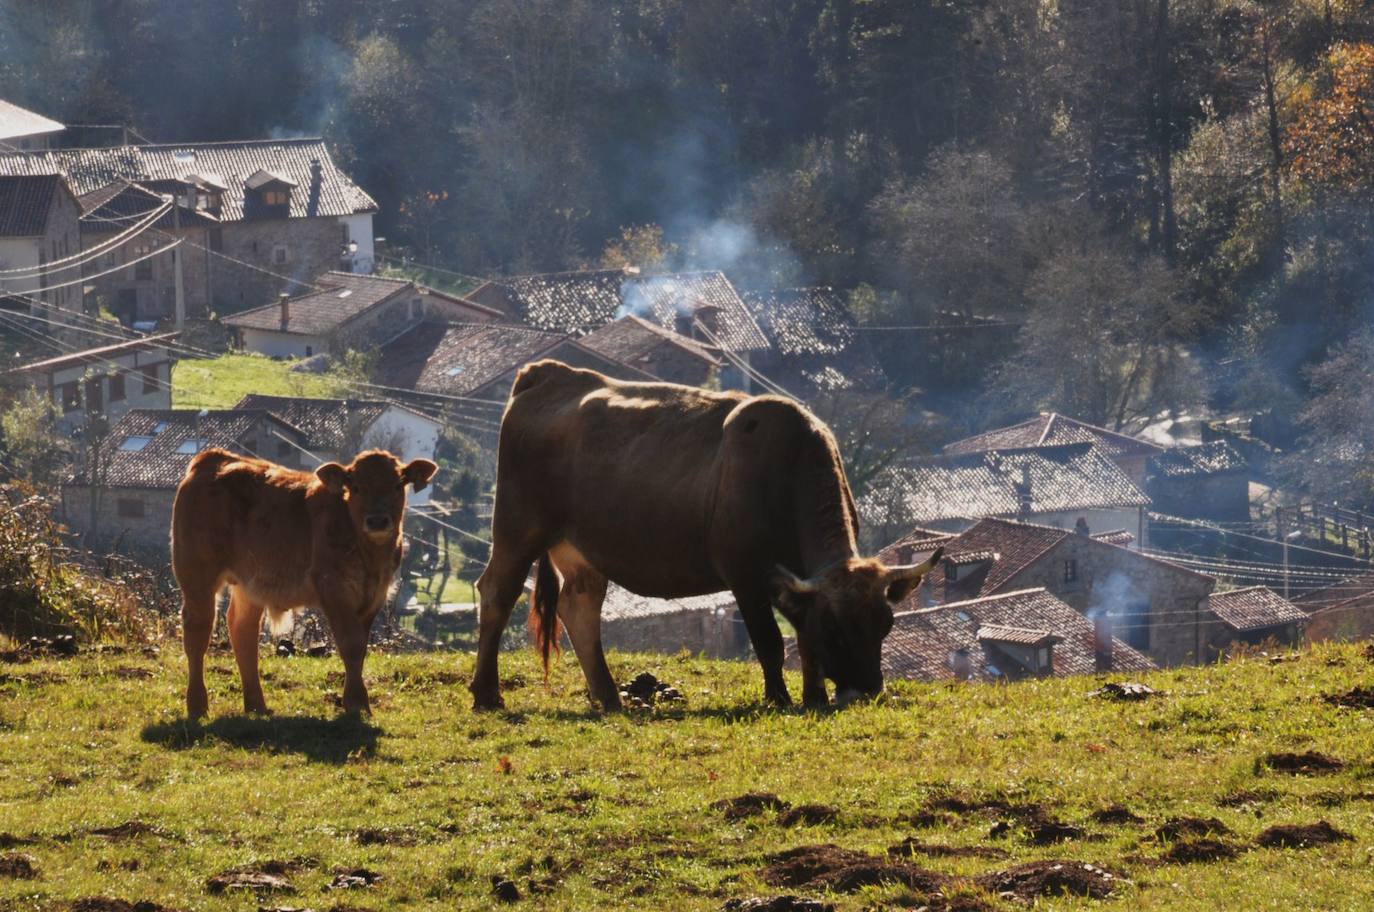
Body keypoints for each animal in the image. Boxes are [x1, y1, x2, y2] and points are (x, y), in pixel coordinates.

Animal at [169, 447, 434, 719]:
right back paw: (198, 706)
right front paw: (357, 703)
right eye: (356, 486)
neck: (369, 554)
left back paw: (256, 706)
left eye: (398, 485)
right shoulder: (334, 588)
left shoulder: (375, 595)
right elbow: (351, 644)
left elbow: (361, 648)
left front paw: (359, 703)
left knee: (243, 630)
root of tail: (214, 458)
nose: (377, 521)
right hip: (197, 576)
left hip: (249, 585)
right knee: (197, 631)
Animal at [475, 359, 945, 708]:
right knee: (497, 592)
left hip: (580, 547)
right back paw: (486, 693)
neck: (786, 471)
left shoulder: (794, 580)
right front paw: (779, 698)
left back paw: (609, 697)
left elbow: (803, 639)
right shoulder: (744, 574)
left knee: (580, 607)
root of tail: (548, 375)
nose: (864, 690)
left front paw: (813, 696)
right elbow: (770, 641)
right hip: (518, 527)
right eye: (837, 625)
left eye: (885, 622)